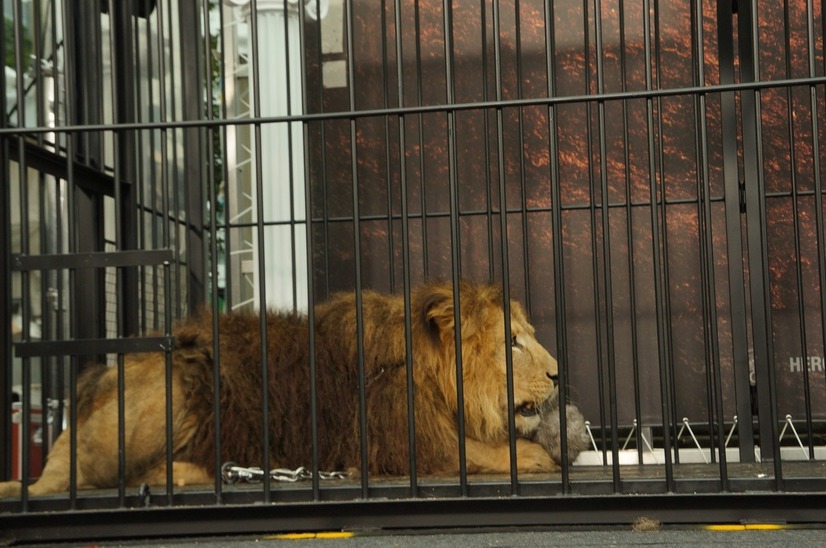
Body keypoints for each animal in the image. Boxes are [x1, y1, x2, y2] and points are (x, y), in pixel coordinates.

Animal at [0, 282, 560, 496]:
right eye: (511, 342)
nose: (558, 372)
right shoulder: (401, 444)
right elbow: (479, 451)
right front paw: (535, 456)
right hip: (171, 388)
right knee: (65, 481)